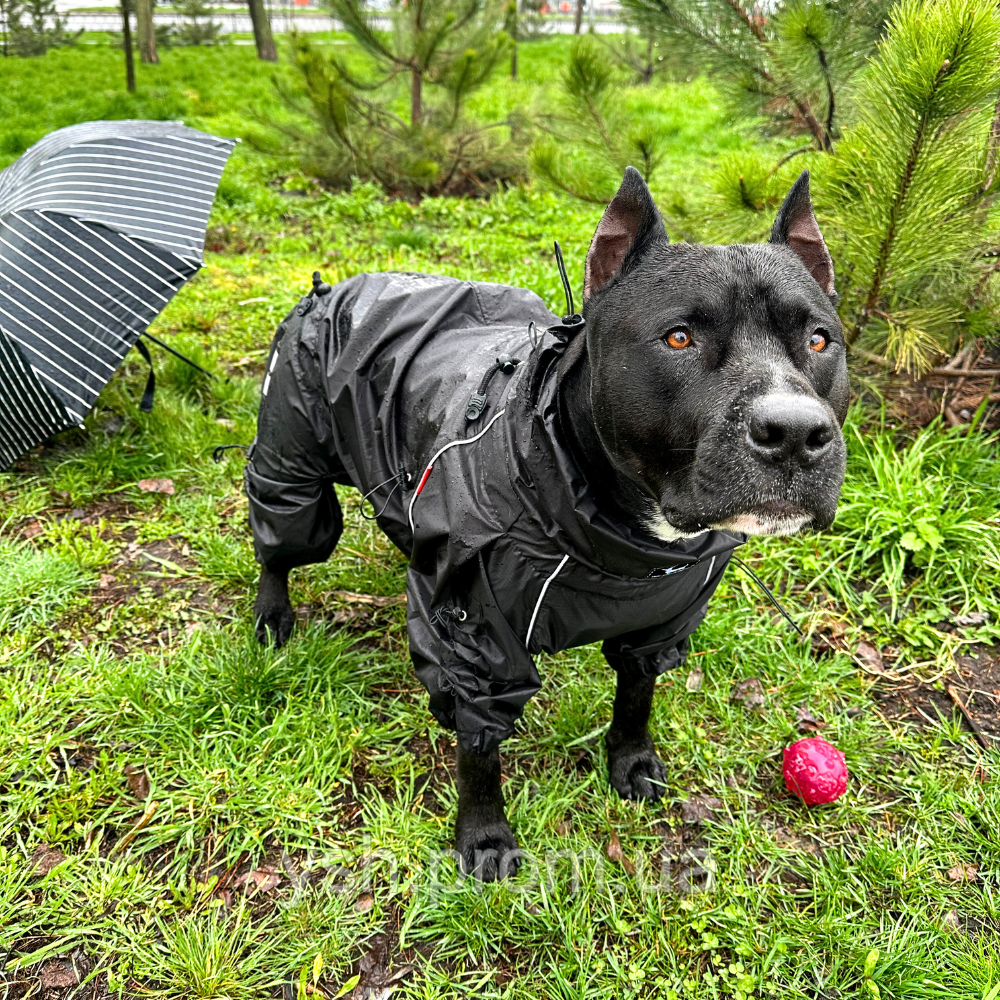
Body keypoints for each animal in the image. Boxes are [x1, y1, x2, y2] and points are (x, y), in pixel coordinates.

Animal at [246, 170, 848, 884]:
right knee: (277, 546)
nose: (795, 432)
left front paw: (630, 761)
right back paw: (272, 616)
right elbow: (479, 749)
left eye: (819, 340)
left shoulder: (663, 624)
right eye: (679, 338)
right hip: (293, 471)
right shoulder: (474, 645)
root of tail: (337, 283)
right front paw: (483, 836)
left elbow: (637, 693)